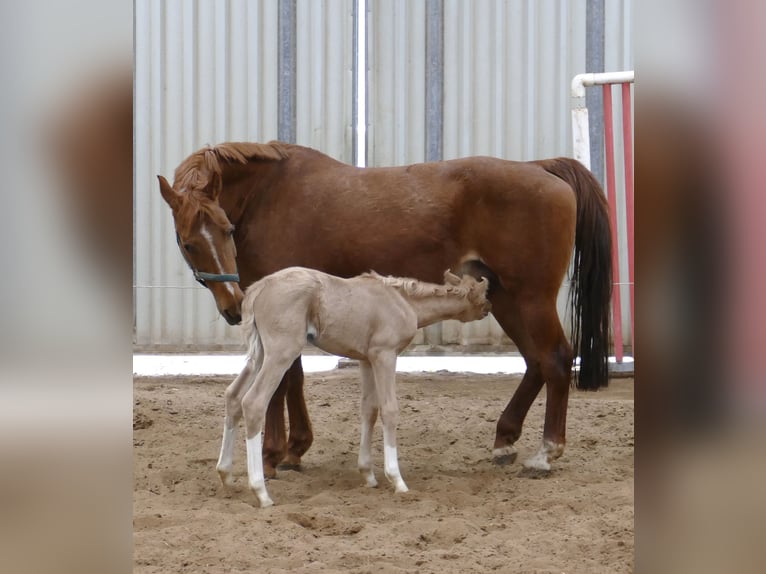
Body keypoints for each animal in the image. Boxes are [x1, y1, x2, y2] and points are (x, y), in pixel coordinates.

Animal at [158, 142, 612, 474]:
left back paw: (546, 452)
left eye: (226, 229)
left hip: (530, 297)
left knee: (555, 359)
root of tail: (541, 168)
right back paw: (505, 439)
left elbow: (285, 380)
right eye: (188, 242)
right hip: (505, 299)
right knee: (536, 363)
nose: (233, 307)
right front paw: (294, 448)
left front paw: (275, 453)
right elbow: (293, 378)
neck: (269, 197)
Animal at [216, 266, 492, 508]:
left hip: (260, 354)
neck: (404, 302)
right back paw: (261, 493)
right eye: (482, 294)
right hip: (281, 353)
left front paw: (368, 475)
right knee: (253, 402)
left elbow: (369, 410)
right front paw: (397, 480)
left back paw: (226, 475)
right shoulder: (385, 355)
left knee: (233, 396)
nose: (488, 310)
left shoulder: (366, 360)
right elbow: (389, 410)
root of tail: (258, 288)